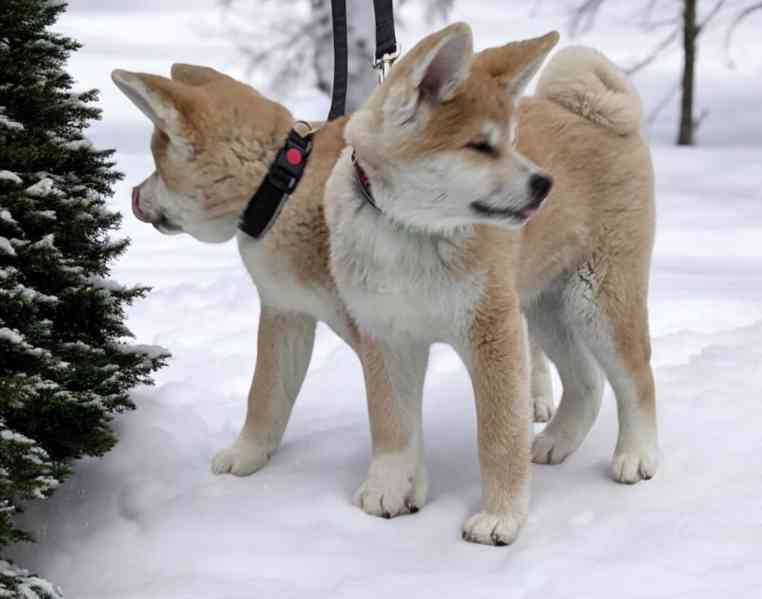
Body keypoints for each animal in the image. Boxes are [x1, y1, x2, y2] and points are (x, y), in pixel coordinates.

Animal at [324, 23, 656, 548]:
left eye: (514, 142)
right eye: (480, 146)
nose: (545, 184)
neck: (410, 231)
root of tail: (595, 115)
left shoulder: (491, 331)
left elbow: (499, 437)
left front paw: (500, 518)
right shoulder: (386, 337)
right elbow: (391, 425)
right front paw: (389, 489)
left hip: (598, 300)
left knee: (637, 378)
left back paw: (638, 455)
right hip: (544, 308)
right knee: (587, 381)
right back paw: (557, 441)